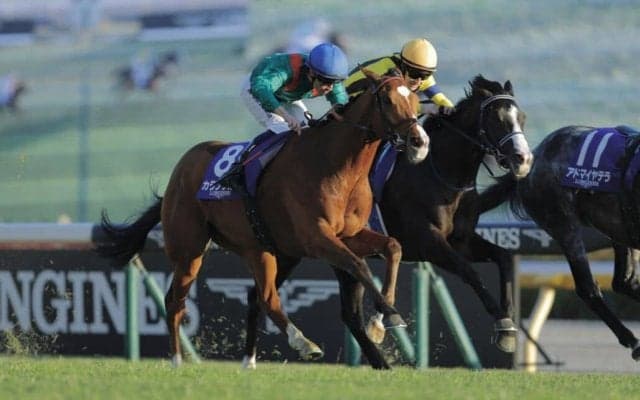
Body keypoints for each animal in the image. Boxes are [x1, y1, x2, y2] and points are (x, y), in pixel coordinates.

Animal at [96, 70, 430, 366]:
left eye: (415, 100)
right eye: (386, 100)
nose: (419, 141)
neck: (337, 167)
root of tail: (178, 173)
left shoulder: (349, 234)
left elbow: (393, 247)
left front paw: (381, 320)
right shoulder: (317, 238)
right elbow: (359, 265)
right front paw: (386, 316)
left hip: (259, 248)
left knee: (263, 297)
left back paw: (287, 347)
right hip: (189, 249)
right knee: (176, 301)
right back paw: (179, 361)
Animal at [242, 75, 533, 369]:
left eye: (521, 118)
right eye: (497, 119)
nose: (523, 160)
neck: (441, 173)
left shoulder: (461, 240)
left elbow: (503, 258)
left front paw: (507, 327)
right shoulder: (428, 242)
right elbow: (469, 271)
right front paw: (503, 321)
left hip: (292, 250)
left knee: (276, 299)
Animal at [479, 124, 640, 361]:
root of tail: (535, 156)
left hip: (617, 230)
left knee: (624, 282)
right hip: (565, 226)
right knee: (587, 288)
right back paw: (633, 341)